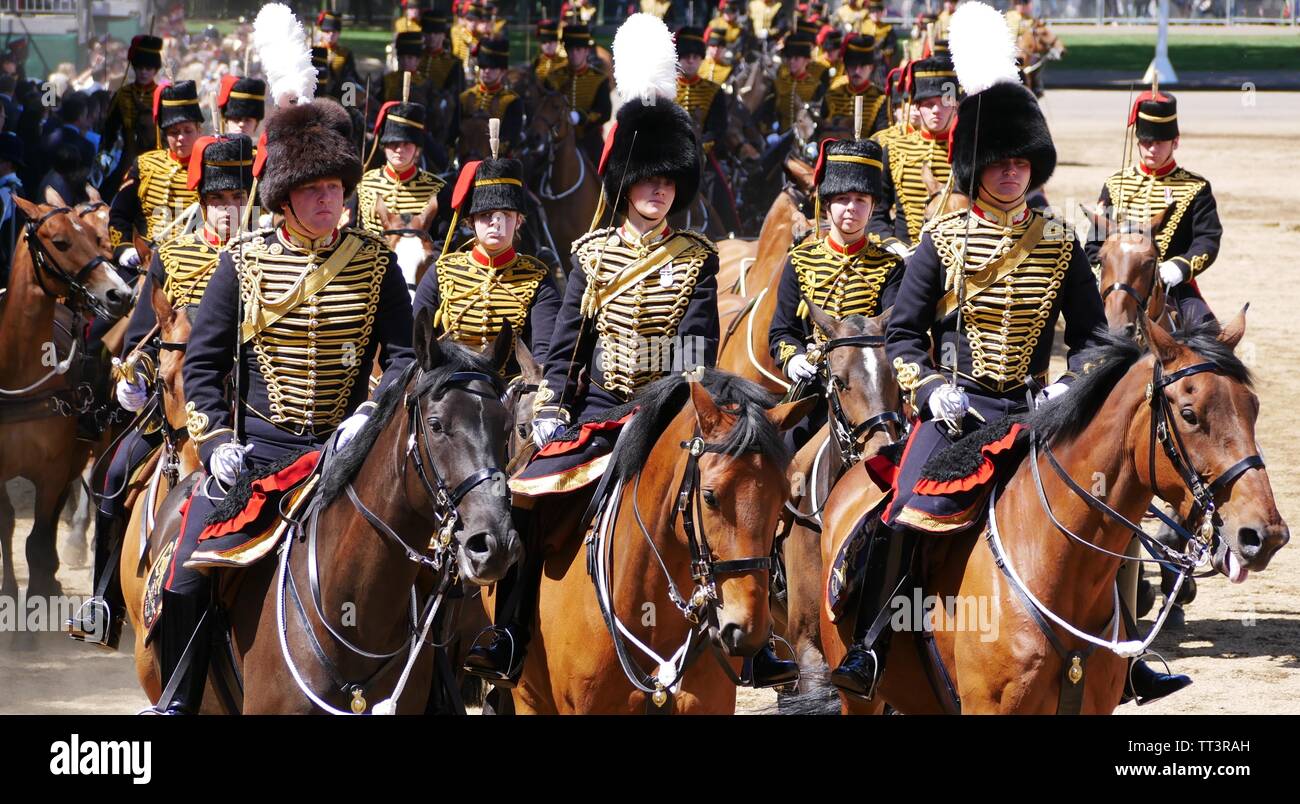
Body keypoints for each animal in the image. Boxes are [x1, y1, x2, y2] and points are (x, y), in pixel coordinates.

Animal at [0, 193, 131, 595]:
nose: (121, 294)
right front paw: (9, 590)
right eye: (60, 242)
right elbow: (8, 523)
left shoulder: (54, 470)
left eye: (92, 236)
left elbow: (38, 543)